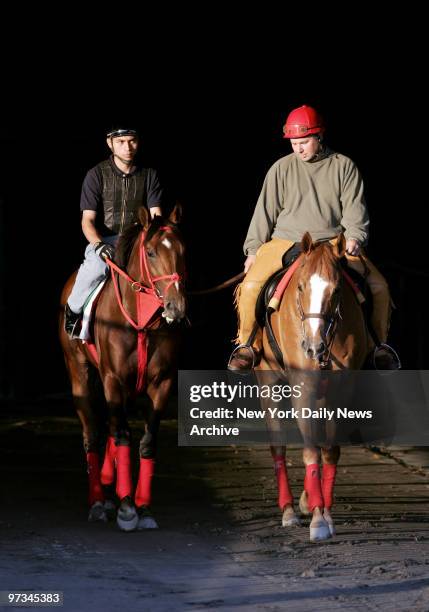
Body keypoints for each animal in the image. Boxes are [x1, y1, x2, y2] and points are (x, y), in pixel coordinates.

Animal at [57, 206, 185, 532]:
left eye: (183, 250)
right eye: (151, 252)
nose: (176, 308)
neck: (140, 321)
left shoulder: (161, 383)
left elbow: (146, 442)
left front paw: (144, 507)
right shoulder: (112, 379)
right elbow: (123, 437)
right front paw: (127, 507)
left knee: (112, 429)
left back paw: (107, 481)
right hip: (80, 374)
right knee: (92, 434)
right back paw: (98, 501)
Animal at [258, 232, 368, 544]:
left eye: (337, 289)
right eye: (301, 286)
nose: (313, 347)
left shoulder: (342, 390)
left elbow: (329, 451)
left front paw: (324, 513)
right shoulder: (303, 387)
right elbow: (310, 451)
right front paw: (317, 519)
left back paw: (307, 499)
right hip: (269, 383)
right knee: (279, 446)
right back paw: (289, 510)